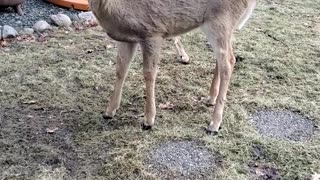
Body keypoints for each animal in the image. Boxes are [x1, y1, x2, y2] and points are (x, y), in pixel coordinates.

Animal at [89, 0, 258, 134]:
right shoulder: (127, 39)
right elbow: (120, 69)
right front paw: (109, 111)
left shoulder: (153, 31)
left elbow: (149, 73)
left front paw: (148, 120)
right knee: (223, 59)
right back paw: (210, 98)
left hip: (221, 20)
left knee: (229, 61)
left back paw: (214, 124)